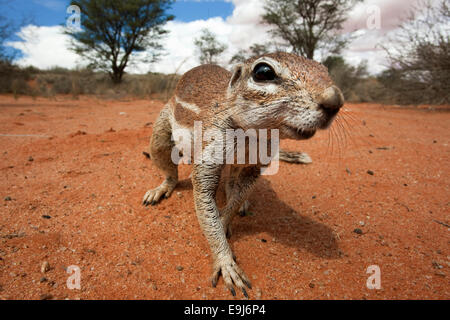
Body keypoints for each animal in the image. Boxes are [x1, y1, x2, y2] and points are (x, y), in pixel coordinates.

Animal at [142, 52, 342, 298]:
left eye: (324, 69)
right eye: (263, 72)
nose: (335, 101)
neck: (251, 137)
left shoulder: (257, 165)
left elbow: (236, 199)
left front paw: (225, 220)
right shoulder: (211, 147)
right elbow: (204, 193)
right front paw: (225, 261)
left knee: (232, 183)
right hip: (161, 132)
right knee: (167, 164)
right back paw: (161, 189)